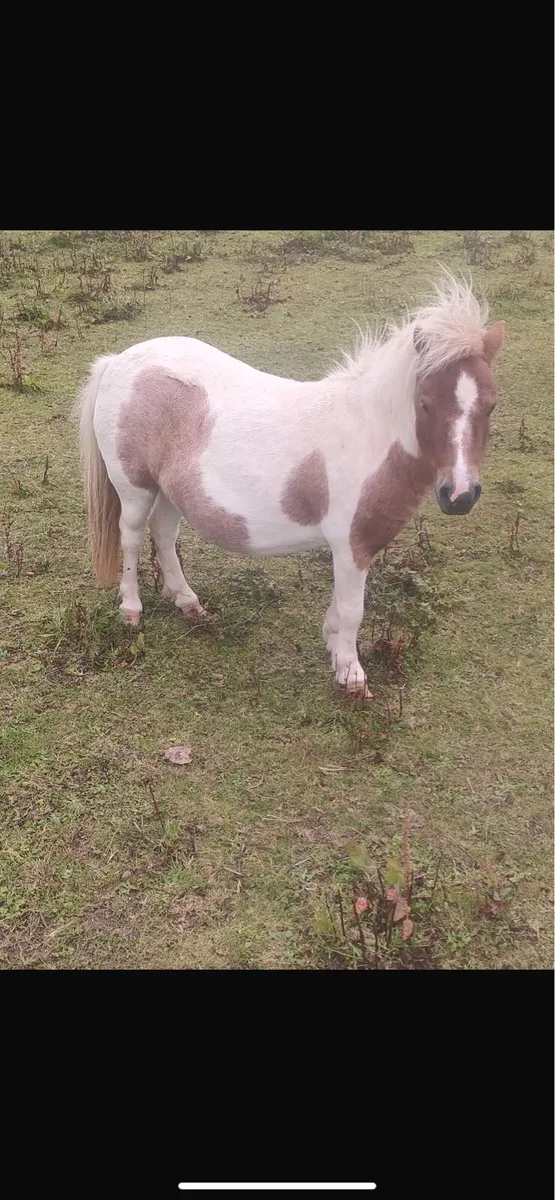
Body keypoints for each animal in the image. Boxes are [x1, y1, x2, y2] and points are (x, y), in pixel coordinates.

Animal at [77, 272, 505, 698]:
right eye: (426, 403)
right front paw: (352, 677)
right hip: (135, 489)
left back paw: (188, 604)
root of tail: (118, 362)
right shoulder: (352, 545)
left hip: (170, 492)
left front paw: (334, 650)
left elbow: (340, 606)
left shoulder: (350, 549)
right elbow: (353, 609)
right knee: (132, 538)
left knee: (164, 535)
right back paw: (131, 611)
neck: (370, 437)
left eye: (491, 405)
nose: (459, 496)